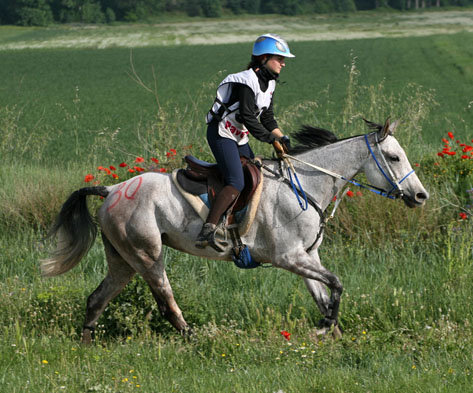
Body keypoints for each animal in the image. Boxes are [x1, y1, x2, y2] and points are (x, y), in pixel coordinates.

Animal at [41, 118, 428, 342]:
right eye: (394, 157)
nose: (420, 196)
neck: (304, 185)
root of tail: (110, 190)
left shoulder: (307, 256)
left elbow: (324, 291)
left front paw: (334, 332)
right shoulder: (288, 257)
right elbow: (336, 283)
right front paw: (325, 326)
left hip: (123, 259)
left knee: (97, 298)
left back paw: (86, 344)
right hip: (147, 255)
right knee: (166, 300)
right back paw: (193, 339)